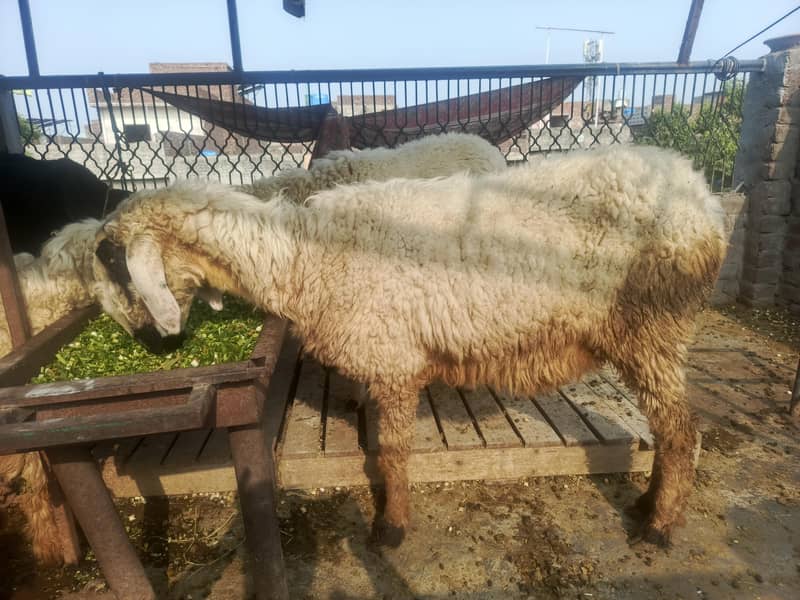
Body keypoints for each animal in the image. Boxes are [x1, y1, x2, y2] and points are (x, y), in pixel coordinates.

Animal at [90, 144, 725, 548]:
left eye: (115, 262)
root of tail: (703, 197)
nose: (150, 344)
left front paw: (391, 527)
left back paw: (660, 526)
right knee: (674, 430)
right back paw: (649, 505)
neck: (304, 255)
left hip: (652, 327)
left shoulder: (393, 358)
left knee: (681, 430)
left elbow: (393, 453)